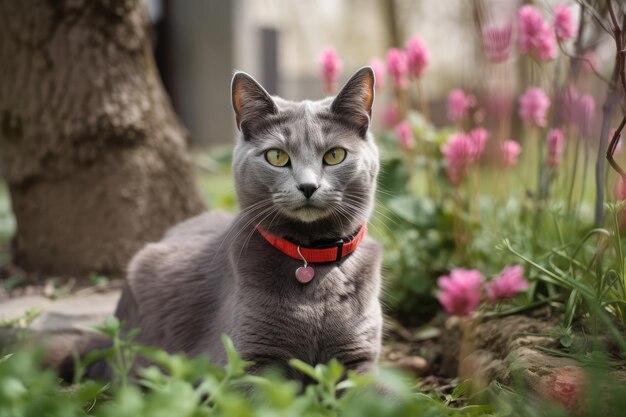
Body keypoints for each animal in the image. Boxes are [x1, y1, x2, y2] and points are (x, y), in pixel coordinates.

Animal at [110, 66, 380, 380]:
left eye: (335, 155)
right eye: (277, 156)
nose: (308, 186)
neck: (311, 260)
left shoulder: (360, 358)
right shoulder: (246, 362)